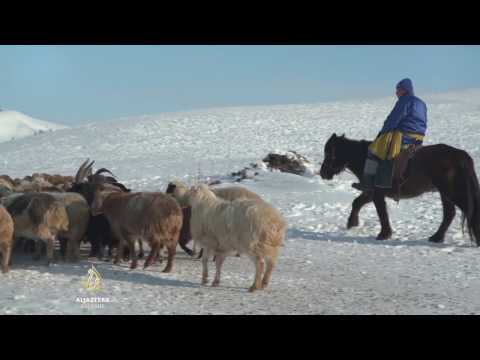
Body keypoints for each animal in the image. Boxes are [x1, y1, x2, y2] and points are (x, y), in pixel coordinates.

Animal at [318, 134, 480, 246]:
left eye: (329, 153)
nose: (322, 173)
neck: (365, 159)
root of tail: (460, 155)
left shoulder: (376, 193)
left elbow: (381, 212)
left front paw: (384, 234)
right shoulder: (370, 192)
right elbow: (357, 203)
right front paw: (352, 223)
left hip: (452, 192)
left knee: (464, 212)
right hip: (445, 194)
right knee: (449, 214)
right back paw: (436, 238)